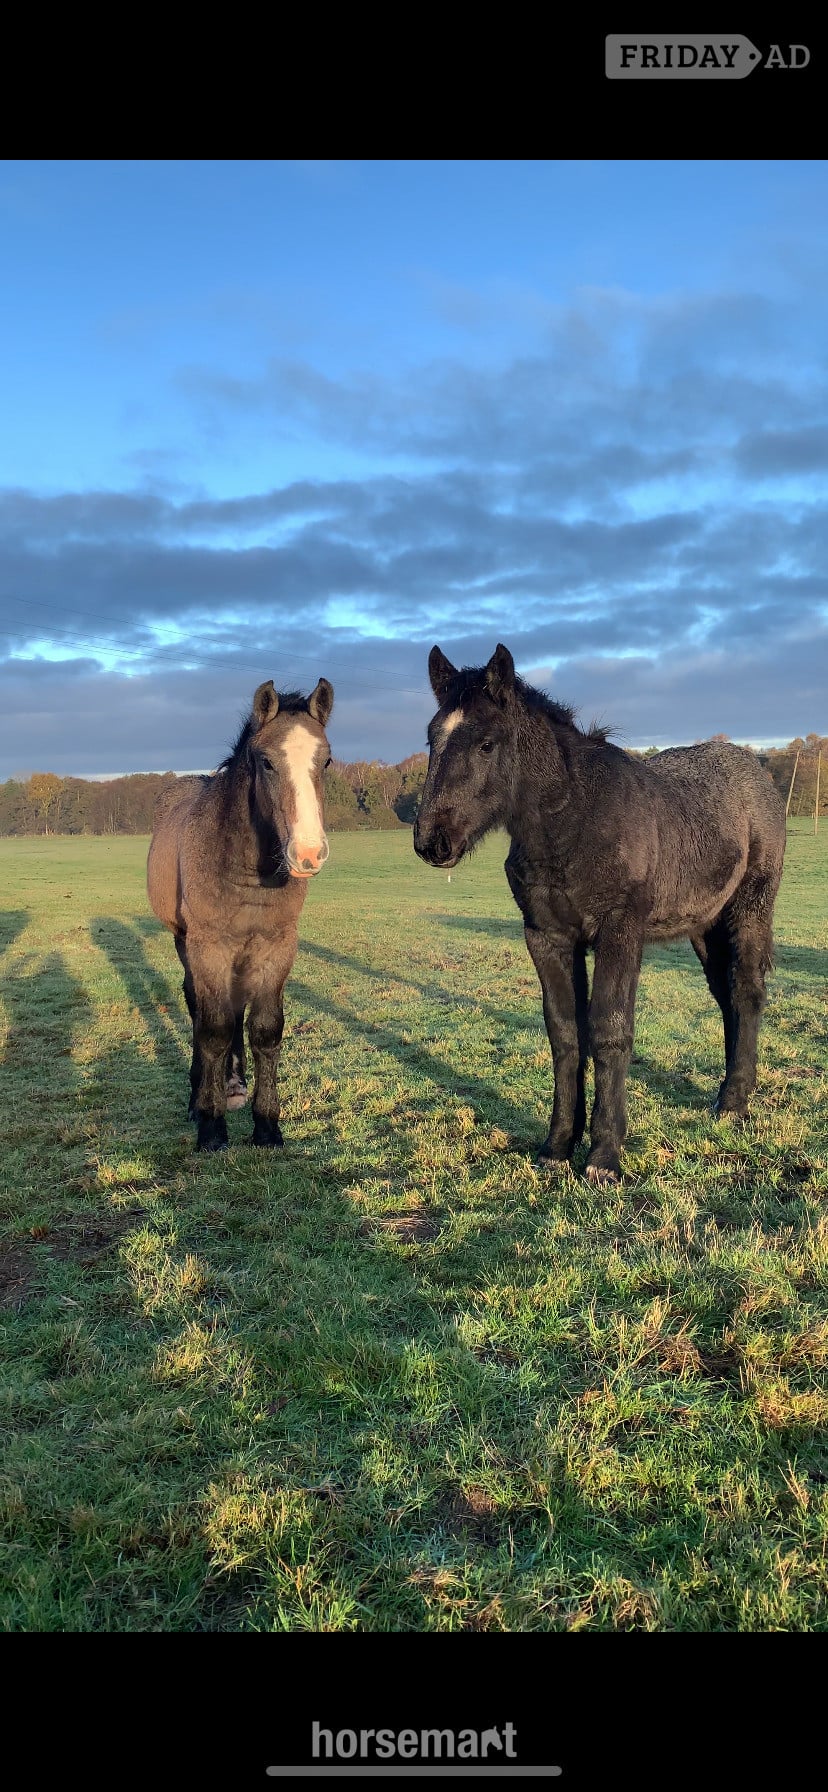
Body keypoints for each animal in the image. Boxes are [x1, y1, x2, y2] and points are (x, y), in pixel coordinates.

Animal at [147, 677, 334, 1151]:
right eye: (266, 762)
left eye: (326, 760)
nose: (308, 853)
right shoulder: (209, 945)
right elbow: (212, 1027)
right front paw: (211, 1125)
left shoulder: (277, 945)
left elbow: (265, 1029)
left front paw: (267, 1125)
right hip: (185, 941)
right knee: (197, 1005)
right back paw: (202, 1096)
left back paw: (234, 1085)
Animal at [414, 643, 786, 1184]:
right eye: (432, 738)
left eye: (486, 744)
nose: (431, 841)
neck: (573, 823)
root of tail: (757, 771)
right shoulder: (547, 937)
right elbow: (566, 1034)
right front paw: (556, 1147)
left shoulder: (619, 933)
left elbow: (610, 1031)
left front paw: (605, 1155)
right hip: (705, 927)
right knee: (726, 996)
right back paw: (726, 1094)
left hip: (750, 910)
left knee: (747, 992)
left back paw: (735, 1103)